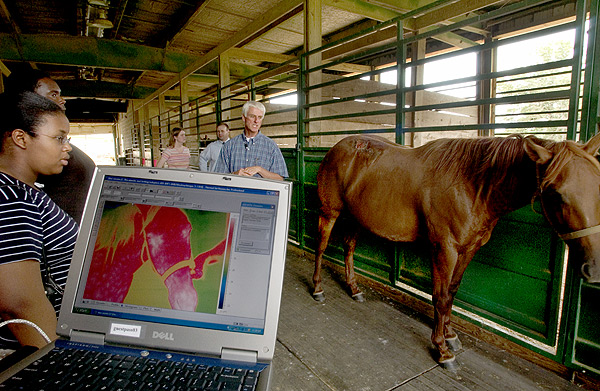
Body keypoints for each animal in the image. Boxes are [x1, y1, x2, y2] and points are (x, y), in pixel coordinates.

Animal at [312, 132, 600, 368]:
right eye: (556, 194)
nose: (594, 268)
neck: (472, 185)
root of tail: (337, 148)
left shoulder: (468, 249)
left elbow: (451, 292)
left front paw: (450, 335)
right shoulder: (444, 249)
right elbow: (440, 297)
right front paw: (442, 349)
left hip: (356, 217)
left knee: (349, 248)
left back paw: (354, 289)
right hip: (330, 212)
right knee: (321, 247)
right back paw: (317, 288)